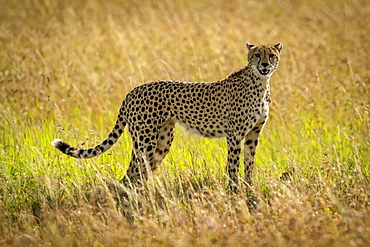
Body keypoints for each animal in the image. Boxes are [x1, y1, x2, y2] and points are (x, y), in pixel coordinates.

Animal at [52, 42, 284, 189]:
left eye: (271, 55)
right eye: (257, 55)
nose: (265, 65)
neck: (260, 83)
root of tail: (132, 91)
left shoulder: (253, 134)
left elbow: (249, 164)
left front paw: (250, 190)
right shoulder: (235, 135)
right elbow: (233, 165)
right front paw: (234, 193)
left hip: (162, 141)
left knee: (137, 174)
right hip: (145, 141)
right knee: (133, 172)